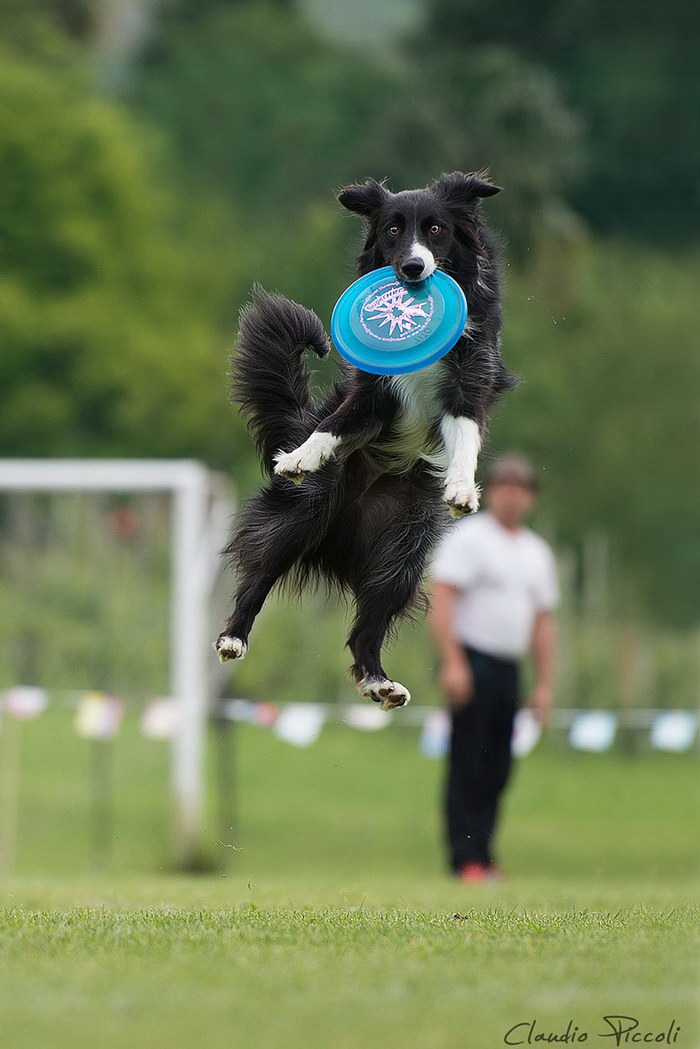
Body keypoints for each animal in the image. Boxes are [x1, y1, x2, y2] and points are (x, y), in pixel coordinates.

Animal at [216, 174, 518, 713]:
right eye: (393, 229)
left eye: (435, 229)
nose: (413, 268)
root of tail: (339, 541)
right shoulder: (371, 397)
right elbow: (335, 424)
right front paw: (300, 456)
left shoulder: (471, 379)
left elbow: (466, 433)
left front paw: (462, 488)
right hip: (304, 514)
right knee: (259, 574)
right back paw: (233, 635)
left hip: (404, 549)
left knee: (368, 626)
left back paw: (379, 681)